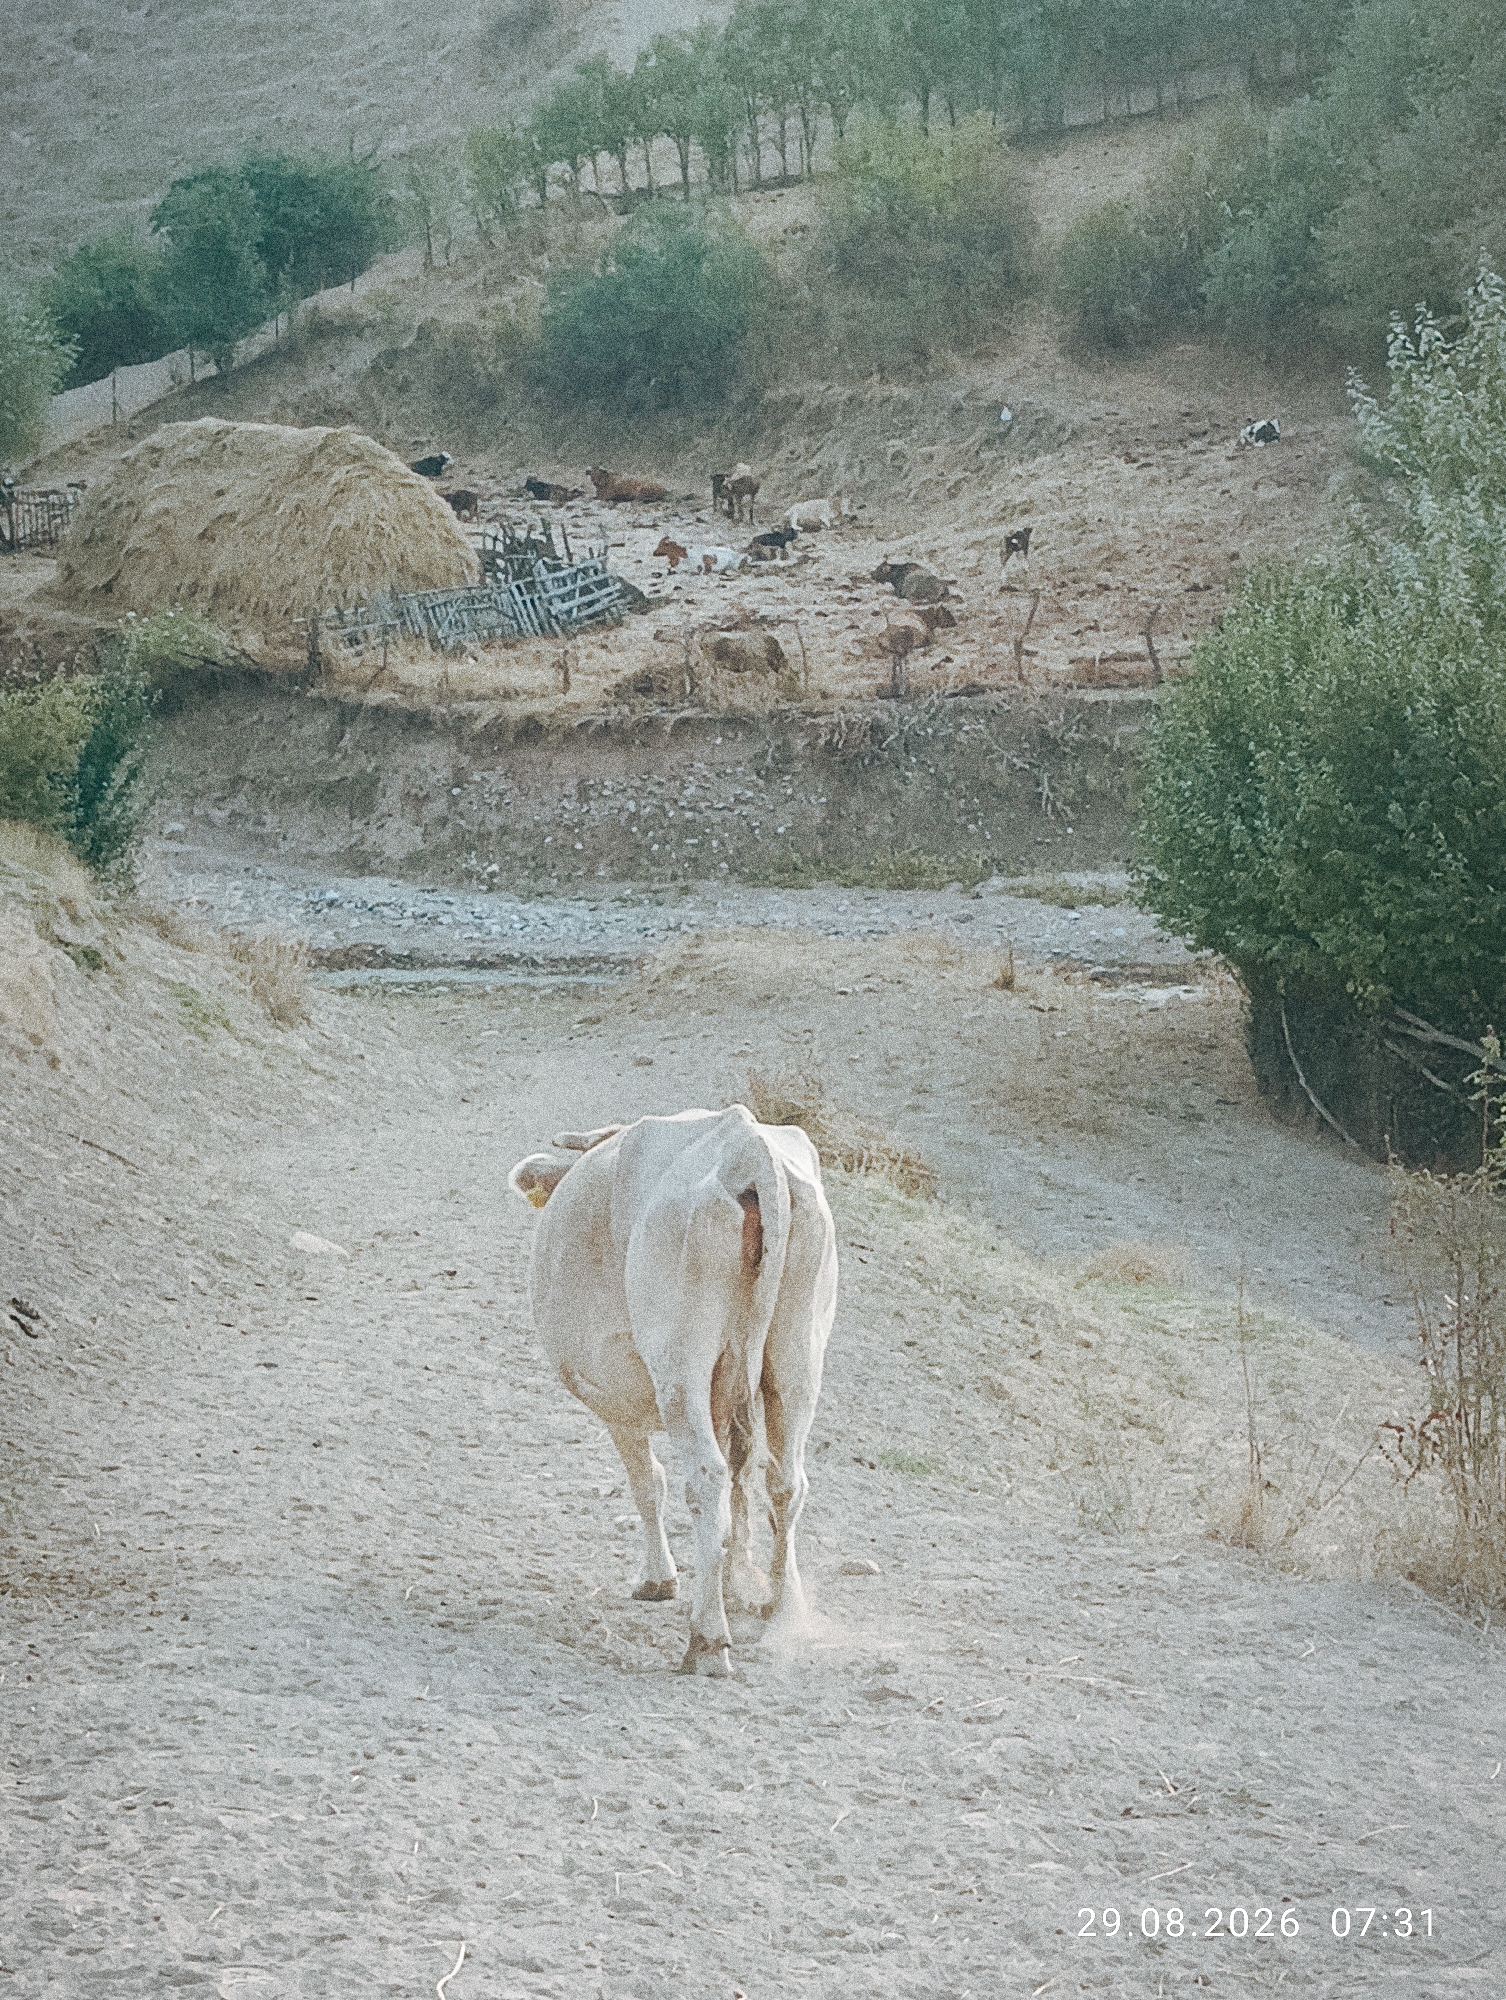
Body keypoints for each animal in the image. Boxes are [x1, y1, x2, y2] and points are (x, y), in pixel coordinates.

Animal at [508, 1107, 838, 1677]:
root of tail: (746, 1144)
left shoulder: (615, 1397)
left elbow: (648, 1483)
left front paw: (660, 1579)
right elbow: (738, 1489)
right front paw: (736, 1586)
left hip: (679, 1368)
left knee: (706, 1476)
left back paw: (707, 1640)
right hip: (797, 1359)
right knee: (782, 1482)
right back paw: (782, 1613)